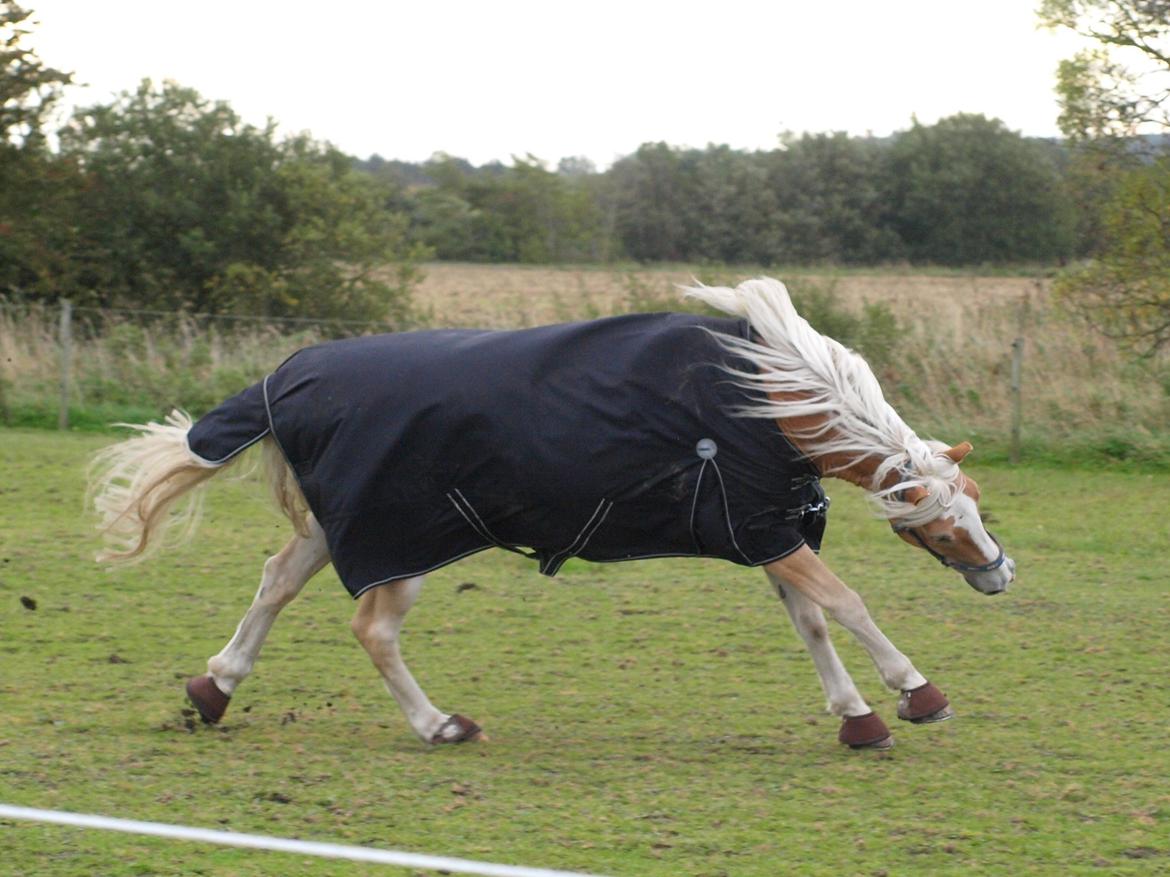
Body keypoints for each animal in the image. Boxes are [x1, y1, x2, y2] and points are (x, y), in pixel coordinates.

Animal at [88, 278, 1015, 753]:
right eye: (944, 524)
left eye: (977, 503)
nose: (999, 570)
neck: (767, 404)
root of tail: (286, 380)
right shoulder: (763, 534)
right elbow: (847, 605)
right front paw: (915, 692)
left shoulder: (768, 536)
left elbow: (814, 622)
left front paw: (858, 716)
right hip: (403, 542)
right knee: (371, 629)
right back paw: (438, 723)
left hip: (343, 525)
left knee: (275, 582)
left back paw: (214, 689)